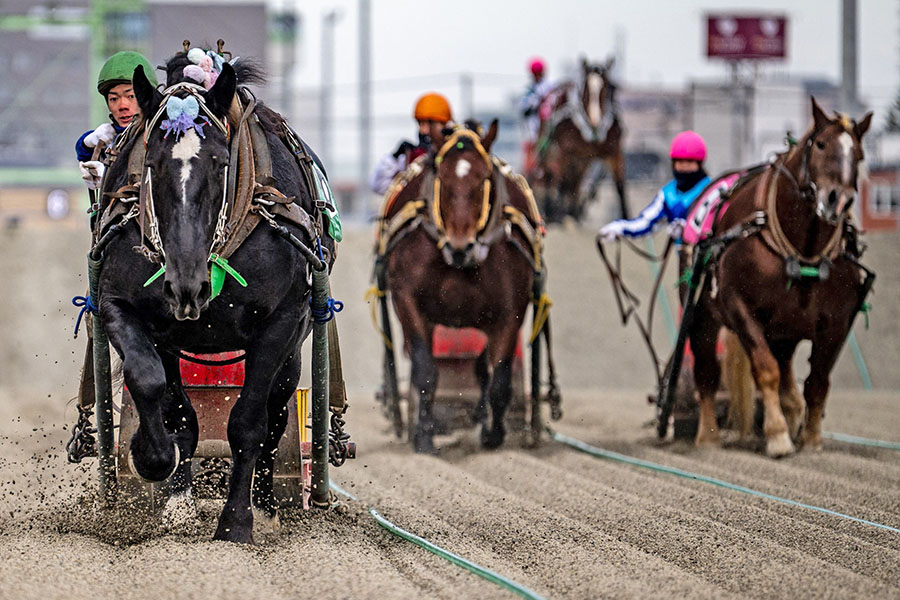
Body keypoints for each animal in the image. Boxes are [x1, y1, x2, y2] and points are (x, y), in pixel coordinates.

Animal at [98, 57, 336, 544]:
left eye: (221, 162)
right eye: (152, 163)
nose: (187, 286)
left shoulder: (282, 321)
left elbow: (249, 423)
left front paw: (237, 521)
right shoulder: (121, 306)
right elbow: (153, 387)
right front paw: (156, 464)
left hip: (294, 347)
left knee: (276, 414)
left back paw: (264, 504)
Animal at [378, 123, 540, 454]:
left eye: (484, 179)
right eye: (443, 179)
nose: (460, 246)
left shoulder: (510, 310)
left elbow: (500, 378)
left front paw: (493, 434)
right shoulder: (407, 300)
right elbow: (425, 371)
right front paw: (423, 436)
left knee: (483, 370)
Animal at [532, 56, 628, 223]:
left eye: (608, 86)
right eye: (586, 90)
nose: (595, 120)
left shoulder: (614, 151)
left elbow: (620, 186)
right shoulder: (566, 151)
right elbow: (563, 184)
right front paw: (561, 217)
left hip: (583, 159)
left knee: (576, 180)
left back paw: (573, 211)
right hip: (549, 146)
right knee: (550, 174)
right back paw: (552, 210)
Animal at [688, 98, 872, 458]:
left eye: (858, 154)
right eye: (821, 144)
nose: (837, 200)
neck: (802, 249)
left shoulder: (837, 319)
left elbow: (818, 381)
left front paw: (811, 439)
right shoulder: (740, 307)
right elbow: (766, 370)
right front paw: (778, 437)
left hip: (785, 326)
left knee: (787, 368)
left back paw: (793, 415)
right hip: (704, 313)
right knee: (707, 369)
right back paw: (708, 437)